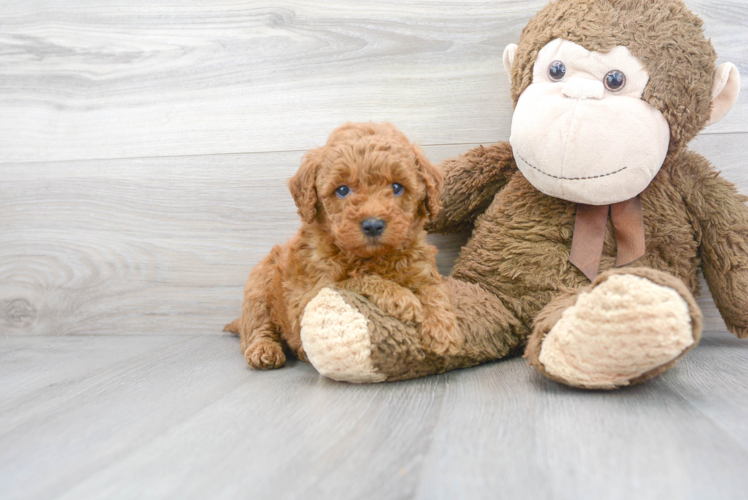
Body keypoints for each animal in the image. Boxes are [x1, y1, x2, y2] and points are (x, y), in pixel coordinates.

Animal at [225, 122, 458, 370]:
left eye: (397, 187)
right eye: (343, 190)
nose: (373, 225)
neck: (373, 257)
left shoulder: (423, 271)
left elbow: (434, 292)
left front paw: (443, 332)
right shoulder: (310, 295)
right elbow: (353, 281)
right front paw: (401, 298)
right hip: (258, 287)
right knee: (257, 327)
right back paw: (264, 350)